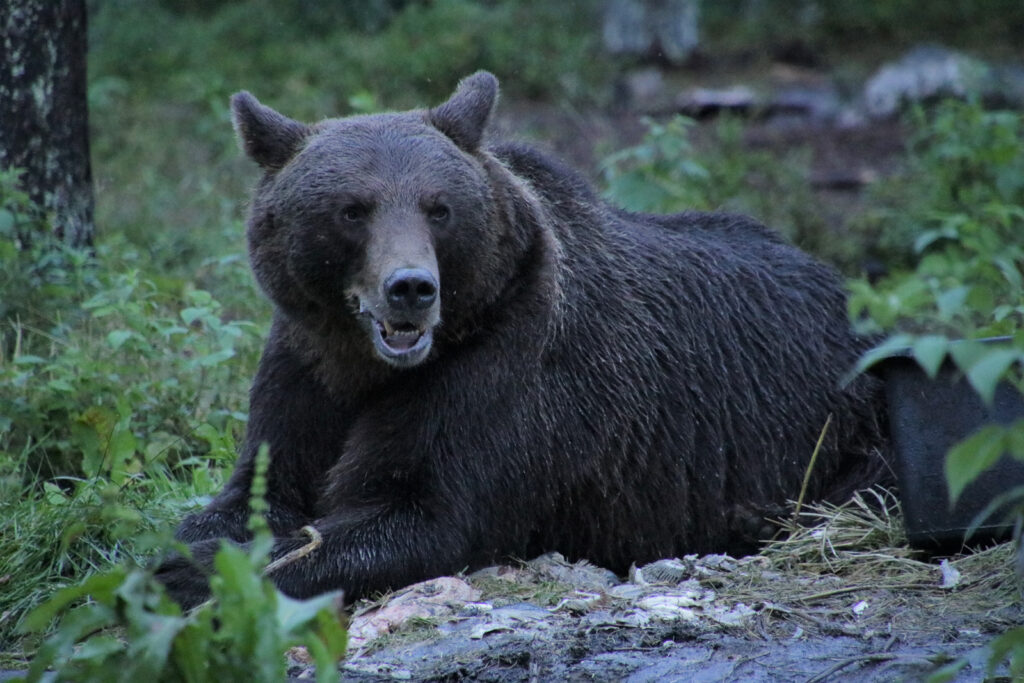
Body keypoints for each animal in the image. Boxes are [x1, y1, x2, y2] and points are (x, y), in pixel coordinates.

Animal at [156, 71, 888, 609]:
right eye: (352, 208)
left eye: (438, 207)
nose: (411, 287)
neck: (366, 362)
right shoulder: (305, 363)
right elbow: (258, 486)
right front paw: (189, 550)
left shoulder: (506, 378)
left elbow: (423, 512)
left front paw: (207, 572)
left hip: (844, 427)